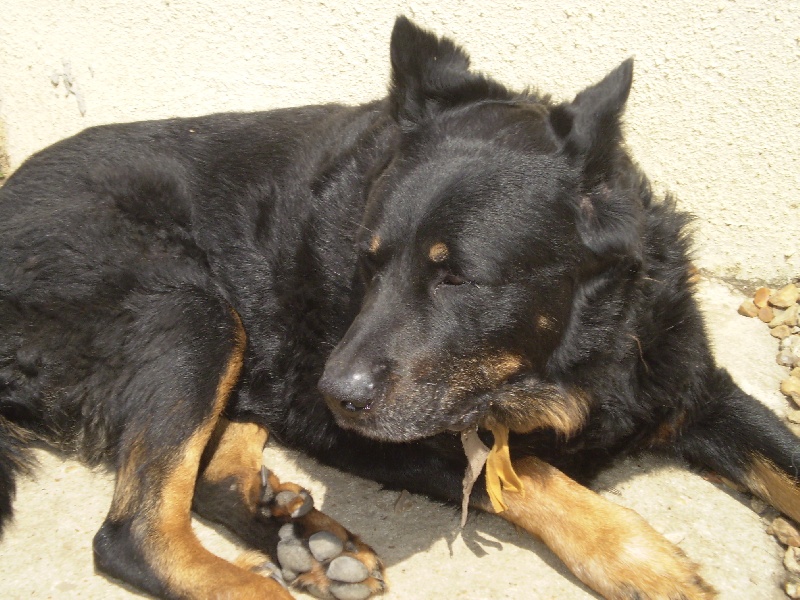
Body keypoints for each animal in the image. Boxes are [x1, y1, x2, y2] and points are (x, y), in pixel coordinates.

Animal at [1, 15, 798, 600]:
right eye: (369, 261)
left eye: (457, 278)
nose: (334, 394)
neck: (574, 350)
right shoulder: (402, 431)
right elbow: (529, 473)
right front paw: (633, 554)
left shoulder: (695, 386)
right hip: (195, 314)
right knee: (133, 533)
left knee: (203, 473)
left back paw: (305, 539)